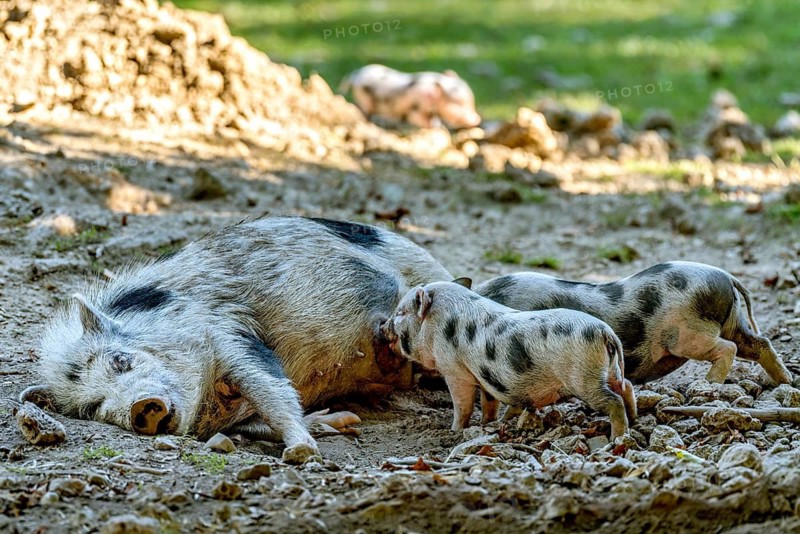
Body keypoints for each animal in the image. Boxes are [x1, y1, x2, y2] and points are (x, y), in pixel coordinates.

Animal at [21, 216, 453, 463]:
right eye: (92, 407)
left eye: (120, 361)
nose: (141, 408)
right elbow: (260, 418)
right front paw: (339, 423)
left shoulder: (225, 330)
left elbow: (269, 387)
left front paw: (300, 452)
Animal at [340, 64, 481, 129]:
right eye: (459, 105)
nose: (477, 119)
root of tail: (355, 74)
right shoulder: (416, 110)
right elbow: (422, 121)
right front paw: (438, 128)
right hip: (363, 97)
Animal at [381, 281, 636, 439]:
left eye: (401, 313)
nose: (382, 326)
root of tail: (606, 333)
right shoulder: (486, 375)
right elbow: (489, 402)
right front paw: (487, 424)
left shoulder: (454, 370)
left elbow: (462, 405)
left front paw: (454, 431)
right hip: (610, 370)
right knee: (626, 386)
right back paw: (634, 419)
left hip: (583, 377)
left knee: (613, 400)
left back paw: (618, 437)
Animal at [475, 262, 793, 386]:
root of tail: (725, 275)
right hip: (733, 322)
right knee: (759, 344)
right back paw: (786, 381)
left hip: (690, 334)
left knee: (727, 348)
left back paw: (709, 385)